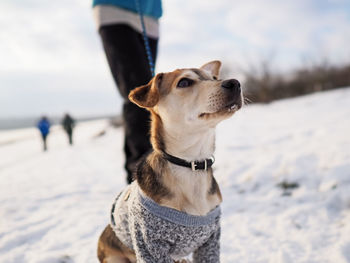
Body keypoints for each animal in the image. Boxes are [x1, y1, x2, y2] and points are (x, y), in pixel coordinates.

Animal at [97, 61, 242, 263]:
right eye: (184, 82)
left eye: (214, 78)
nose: (235, 83)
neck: (190, 164)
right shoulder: (149, 244)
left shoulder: (210, 240)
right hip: (114, 255)